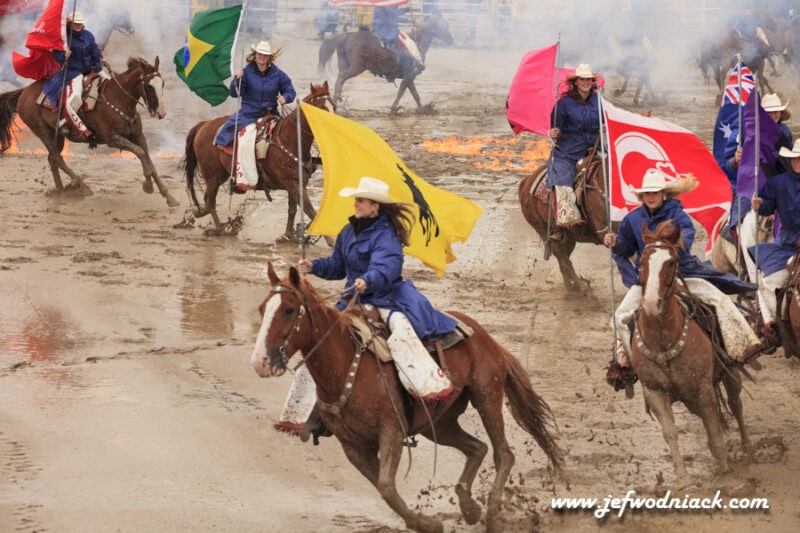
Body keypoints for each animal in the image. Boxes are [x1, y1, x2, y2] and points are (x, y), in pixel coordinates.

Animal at [0, 56, 177, 206]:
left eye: (162, 84)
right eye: (148, 86)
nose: (161, 113)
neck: (117, 98)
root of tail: (23, 92)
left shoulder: (139, 136)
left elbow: (148, 160)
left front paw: (169, 197)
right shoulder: (113, 139)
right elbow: (140, 153)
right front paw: (148, 185)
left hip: (57, 136)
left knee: (52, 159)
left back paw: (61, 191)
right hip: (43, 132)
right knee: (58, 158)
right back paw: (82, 186)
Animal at [184, 81, 334, 237]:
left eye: (332, 105)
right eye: (319, 107)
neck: (290, 140)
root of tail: (204, 124)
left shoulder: (296, 185)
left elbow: (293, 211)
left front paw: (288, 235)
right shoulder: (293, 185)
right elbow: (312, 212)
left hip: (219, 176)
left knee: (208, 201)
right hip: (212, 177)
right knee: (210, 203)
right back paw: (217, 227)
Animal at [250, 262, 564, 532]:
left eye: (289, 309)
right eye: (263, 308)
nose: (260, 362)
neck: (346, 365)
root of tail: (487, 338)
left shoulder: (391, 430)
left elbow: (387, 487)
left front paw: (430, 524)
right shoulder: (353, 447)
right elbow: (384, 488)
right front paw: (427, 523)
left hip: (486, 396)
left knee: (503, 455)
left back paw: (491, 515)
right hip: (438, 423)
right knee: (477, 448)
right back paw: (470, 507)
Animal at [516, 149, 608, 296]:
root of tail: (525, 182)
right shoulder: (606, 231)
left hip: (568, 238)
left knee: (564, 262)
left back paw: (571, 291)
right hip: (543, 231)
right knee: (564, 261)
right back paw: (584, 293)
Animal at [632, 218, 752, 484]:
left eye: (671, 262)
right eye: (641, 262)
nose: (651, 303)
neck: (663, 341)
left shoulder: (703, 387)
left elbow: (714, 427)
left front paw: (725, 470)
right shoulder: (654, 392)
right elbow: (670, 432)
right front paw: (683, 478)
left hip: (730, 373)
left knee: (736, 405)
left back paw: (747, 445)